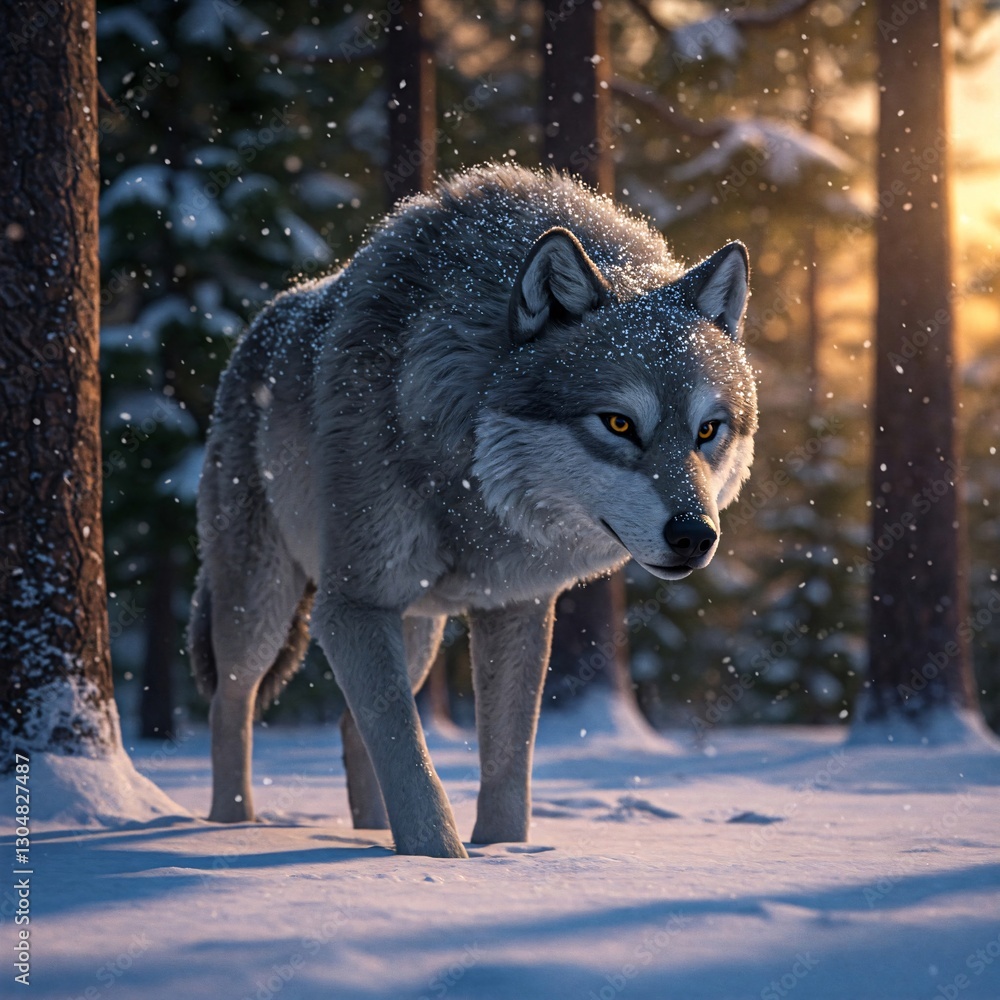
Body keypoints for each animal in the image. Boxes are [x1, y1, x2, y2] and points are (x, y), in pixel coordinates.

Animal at [188, 163, 757, 859]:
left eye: (708, 431)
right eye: (620, 423)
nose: (694, 536)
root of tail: (261, 322)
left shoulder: (516, 606)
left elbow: (507, 768)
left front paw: (501, 856)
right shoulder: (352, 606)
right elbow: (409, 755)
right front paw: (440, 861)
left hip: (417, 628)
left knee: (351, 726)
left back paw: (368, 833)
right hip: (265, 604)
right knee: (231, 705)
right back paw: (232, 829)